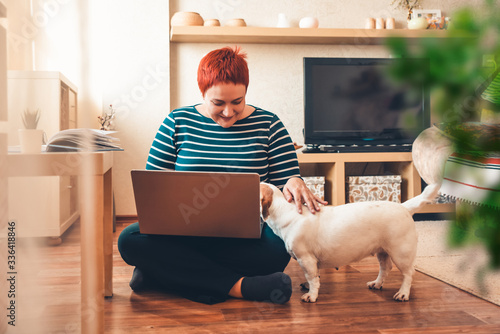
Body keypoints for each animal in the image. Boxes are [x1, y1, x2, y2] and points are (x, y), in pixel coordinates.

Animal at [260, 183, 440, 302]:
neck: (284, 211)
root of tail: (404, 207)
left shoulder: (306, 259)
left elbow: (312, 279)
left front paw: (311, 295)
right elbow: (314, 277)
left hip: (401, 253)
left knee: (408, 273)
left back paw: (403, 293)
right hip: (382, 251)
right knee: (385, 268)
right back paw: (377, 283)